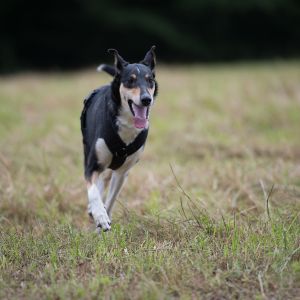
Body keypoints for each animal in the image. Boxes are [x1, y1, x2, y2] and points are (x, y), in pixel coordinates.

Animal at [81, 45, 158, 232]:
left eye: (149, 80)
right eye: (130, 80)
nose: (146, 99)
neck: (127, 122)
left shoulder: (123, 172)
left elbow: (110, 201)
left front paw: (102, 221)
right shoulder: (92, 165)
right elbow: (93, 191)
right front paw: (99, 216)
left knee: (104, 179)